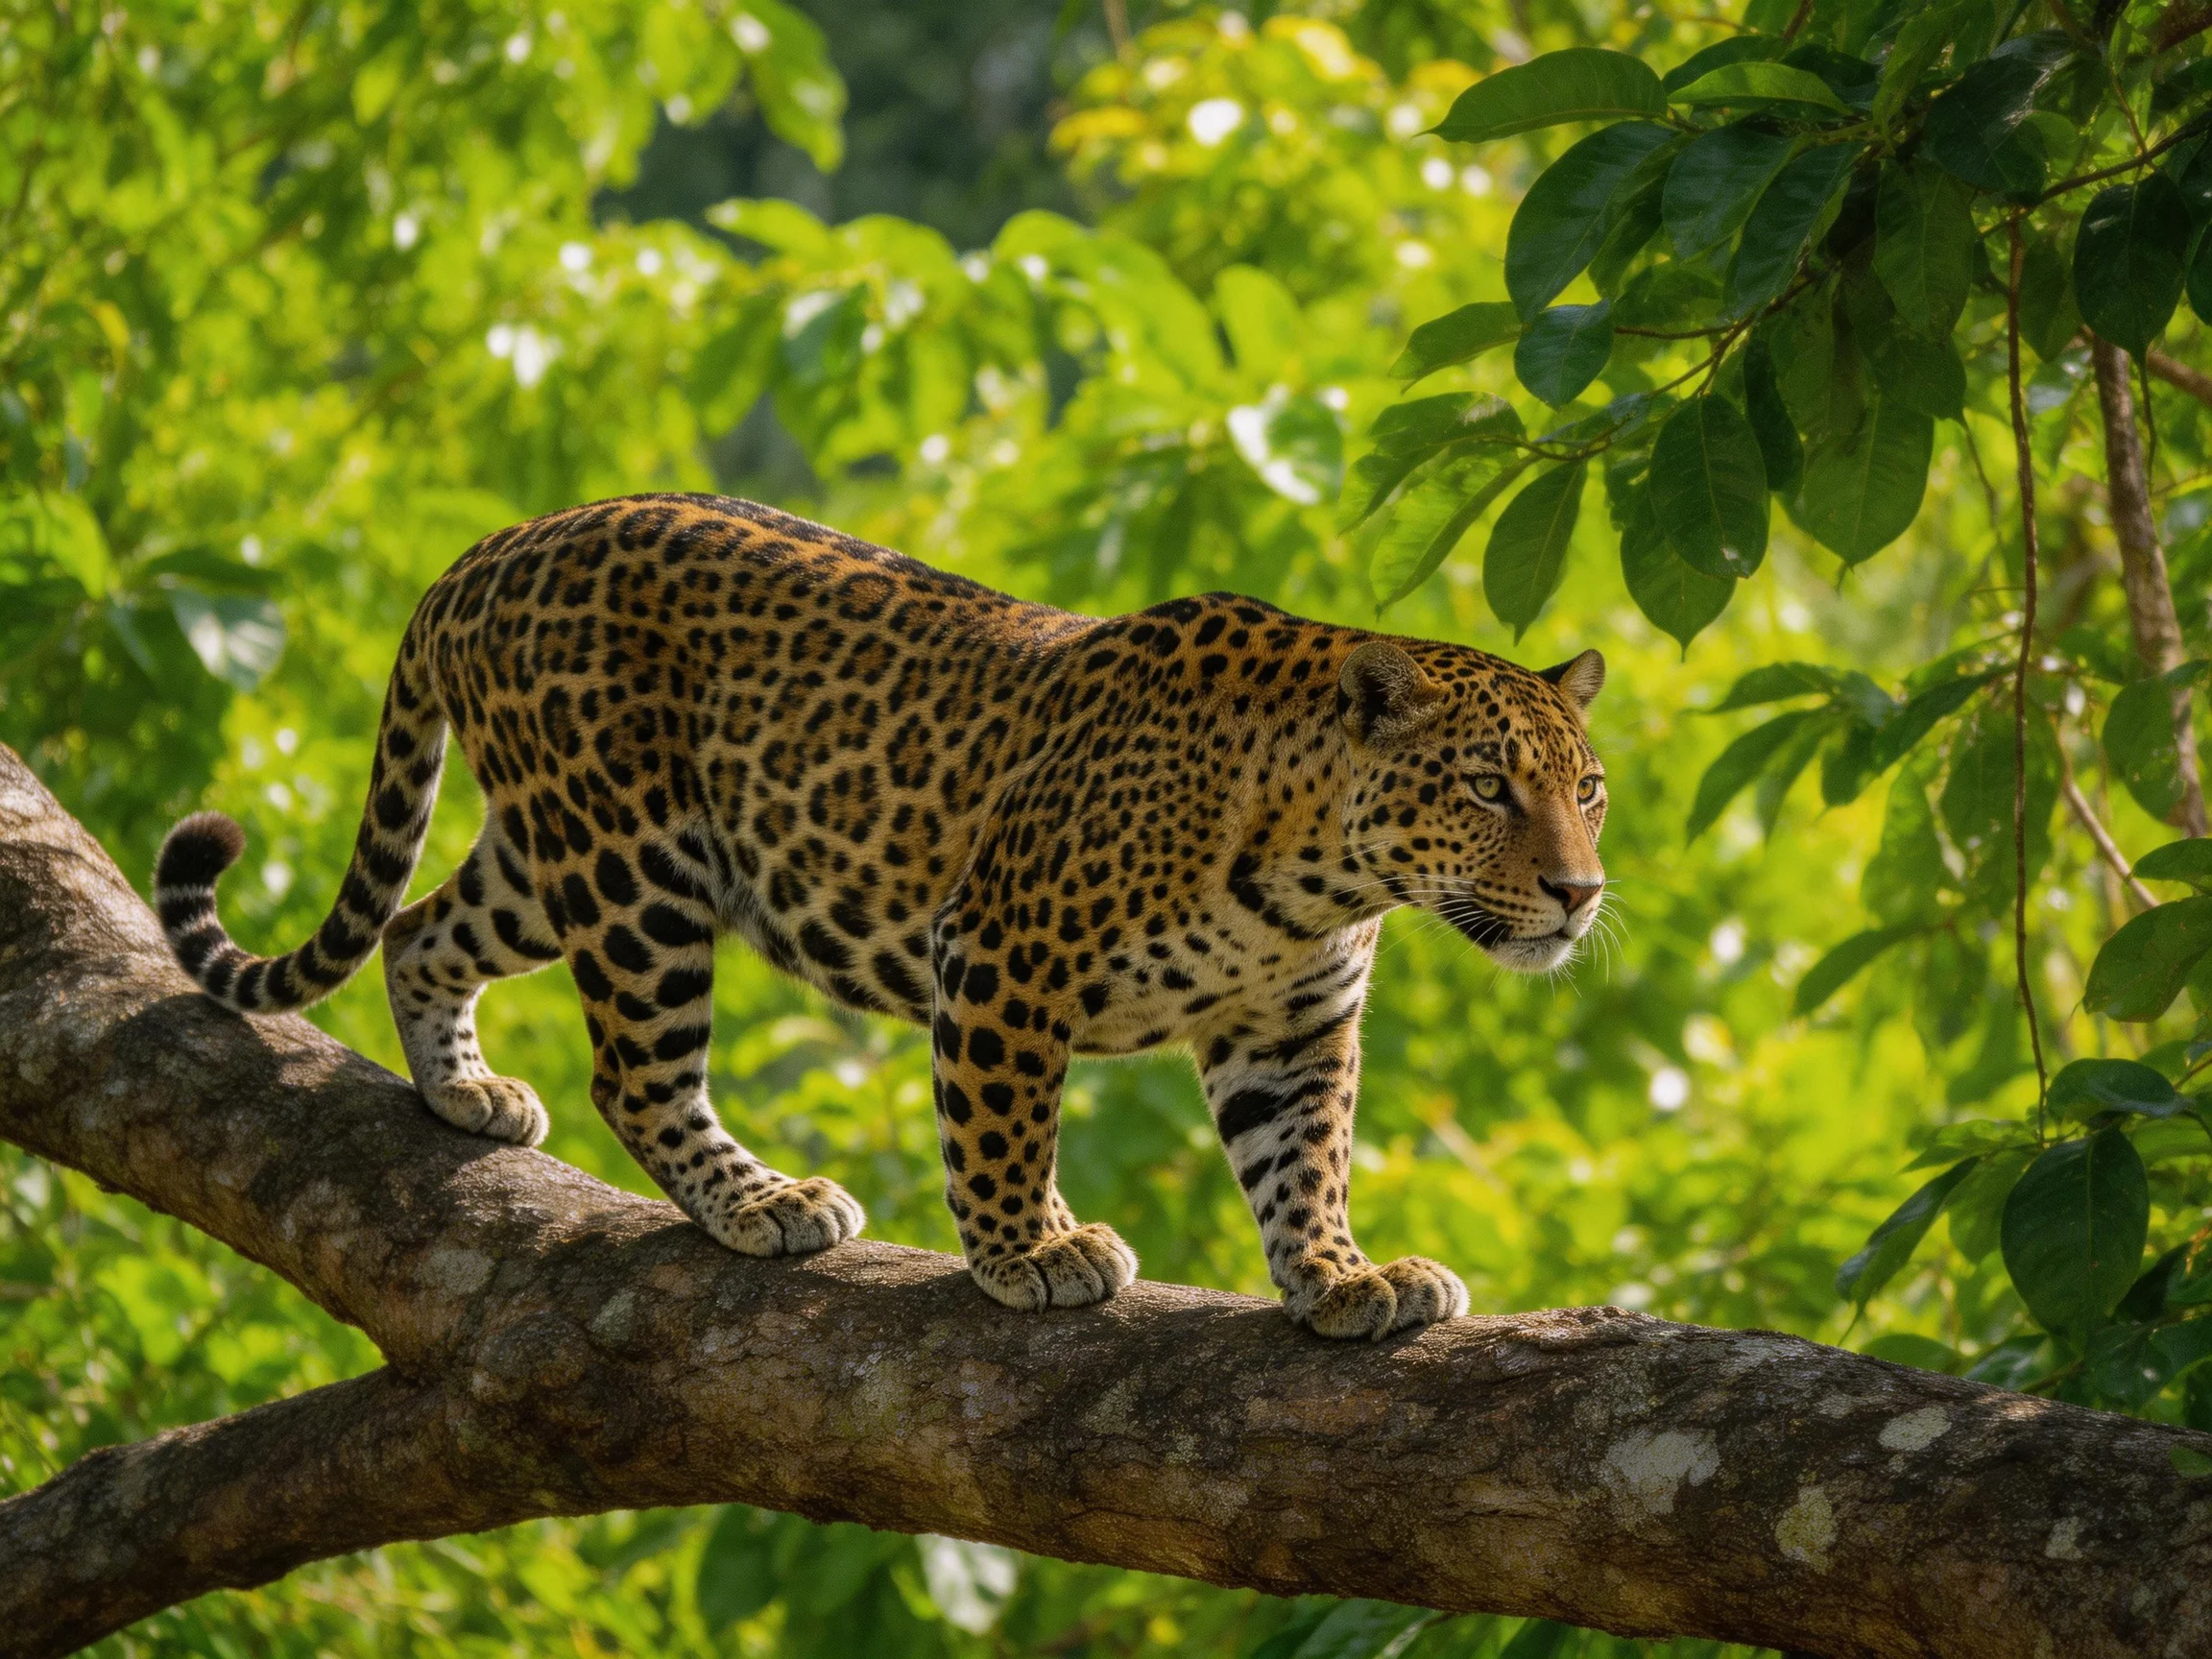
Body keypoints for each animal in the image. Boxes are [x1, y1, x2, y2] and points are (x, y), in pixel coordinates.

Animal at [154, 493, 1609, 1340]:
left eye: (1588, 791)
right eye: (1488, 788)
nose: (1581, 891)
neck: (1314, 875)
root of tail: (484, 552)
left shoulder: (1293, 1027)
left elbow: (1304, 1161)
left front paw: (1342, 1280)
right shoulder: (1008, 957)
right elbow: (1004, 1127)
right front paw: (1033, 1250)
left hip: (553, 848)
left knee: (419, 930)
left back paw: (466, 1093)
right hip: (637, 867)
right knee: (638, 1072)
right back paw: (766, 1200)